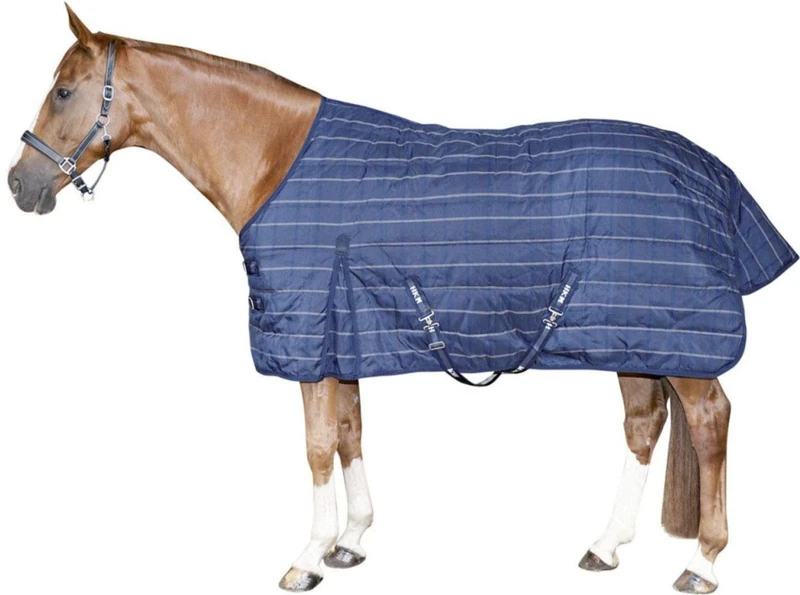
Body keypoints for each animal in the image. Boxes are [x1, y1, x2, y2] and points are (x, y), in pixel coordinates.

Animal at [8, 7, 797, 594]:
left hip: (679, 341)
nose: (20, 184)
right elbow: (350, 432)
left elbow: (317, 446)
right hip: (633, 337)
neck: (276, 158)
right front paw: (351, 541)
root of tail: (710, 171)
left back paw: (702, 562)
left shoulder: (312, 338)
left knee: (709, 421)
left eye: (65, 91)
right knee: (643, 426)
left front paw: (308, 556)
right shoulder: (345, 335)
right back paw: (605, 546)